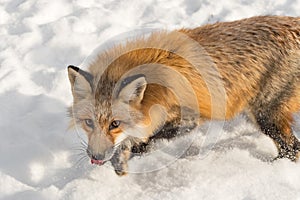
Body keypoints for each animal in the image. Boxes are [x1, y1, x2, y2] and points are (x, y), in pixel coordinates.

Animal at [68, 15, 300, 175]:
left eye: (115, 124)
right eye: (88, 123)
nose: (96, 156)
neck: (153, 90)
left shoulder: (188, 117)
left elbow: (146, 137)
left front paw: (127, 153)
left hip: (265, 117)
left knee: (292, 149)